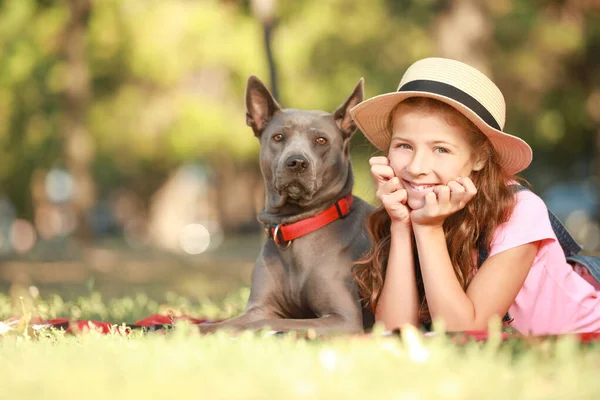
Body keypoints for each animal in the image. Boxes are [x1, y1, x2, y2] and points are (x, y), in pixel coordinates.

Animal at [199, 75, 372, 334]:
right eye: (278, 137)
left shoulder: (343, 319)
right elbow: (218, 324)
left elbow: (267, 322)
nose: (297, 162)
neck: (296, 227)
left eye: (321, 140)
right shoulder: (258, 307)